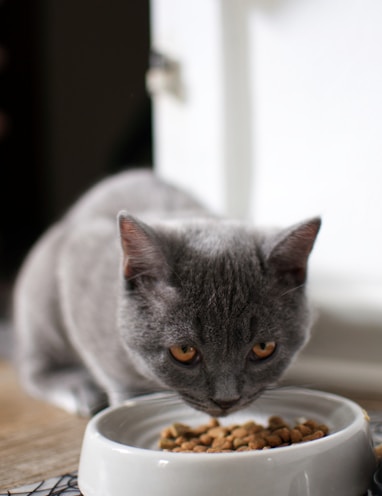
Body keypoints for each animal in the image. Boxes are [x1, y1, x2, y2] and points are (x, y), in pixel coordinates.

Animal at [13, 169, 320, 416]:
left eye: (263, 348)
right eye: (183, 351)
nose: (226, 400)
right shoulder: (79, 267)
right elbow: (114, 375)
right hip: (41, 292)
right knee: (33, 367)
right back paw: (77, 389)